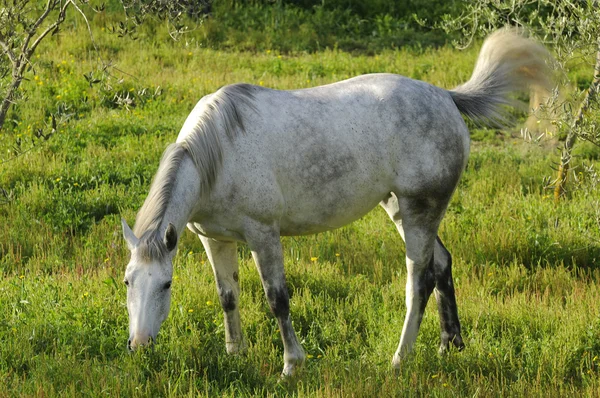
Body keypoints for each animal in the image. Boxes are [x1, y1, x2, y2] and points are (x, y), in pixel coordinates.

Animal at [122, 30, 552, 376]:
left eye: (165, 284)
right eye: (128, 281)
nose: (139, 344)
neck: (218, 153)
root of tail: (447, 96)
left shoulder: (263, 236)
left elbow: (277, 300)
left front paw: (291, 365)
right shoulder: (215, 239)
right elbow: (227, 296)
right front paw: (235, 354)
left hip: (419, 210)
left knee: (420, 280)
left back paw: (399, 360)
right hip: (400, 209)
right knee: (442, 264)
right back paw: (451, 345)